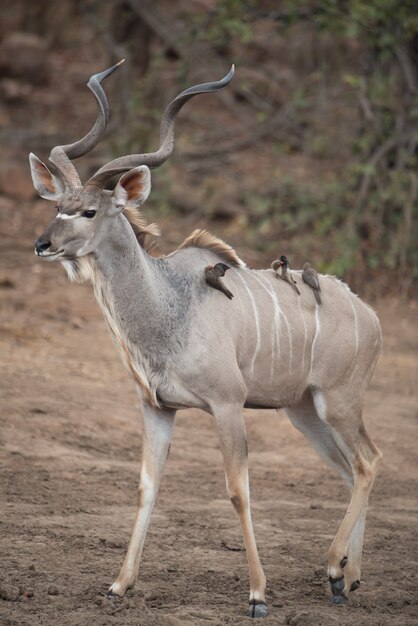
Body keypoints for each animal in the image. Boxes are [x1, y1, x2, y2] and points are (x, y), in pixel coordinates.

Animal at [29, 61, 382, 616]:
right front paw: (119, 585)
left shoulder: (227, 404)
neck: (169, 307)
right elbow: (146, 487)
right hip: (305, 411)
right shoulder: (157, 408)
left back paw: (333, 568)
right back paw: (348, 579)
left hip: (338, 402)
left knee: (368, 464)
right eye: (58, 205)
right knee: (352, 469)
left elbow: (238, 490)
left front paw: (258, 595)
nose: (42, 244)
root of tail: (370, 315)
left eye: (88, 212)